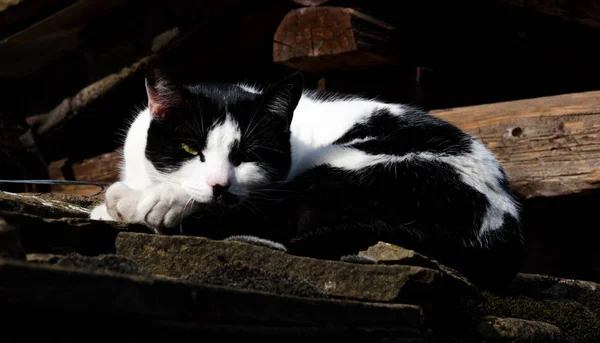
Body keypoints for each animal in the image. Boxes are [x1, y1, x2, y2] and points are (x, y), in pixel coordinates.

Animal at [90, 69, 524, 288]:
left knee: (280, 222)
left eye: (248, 155)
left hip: (364, 169)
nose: (220, 185)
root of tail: (505, 223)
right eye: (188, 148)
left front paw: (151, 201)